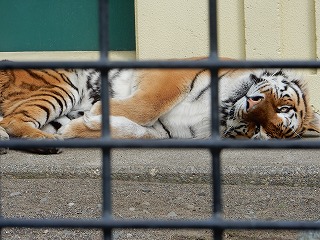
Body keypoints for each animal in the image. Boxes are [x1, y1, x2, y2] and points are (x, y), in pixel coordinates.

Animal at [0, 57, 318, 153]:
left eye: (258, 131)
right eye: (282, 107)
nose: (251, 105)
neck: (221, 111)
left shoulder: (164, 131)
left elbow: (135, 132)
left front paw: (83, 125)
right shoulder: (170, 76)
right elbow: (150, 103)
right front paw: (99, 110)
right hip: (62, 86)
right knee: (12, 119)